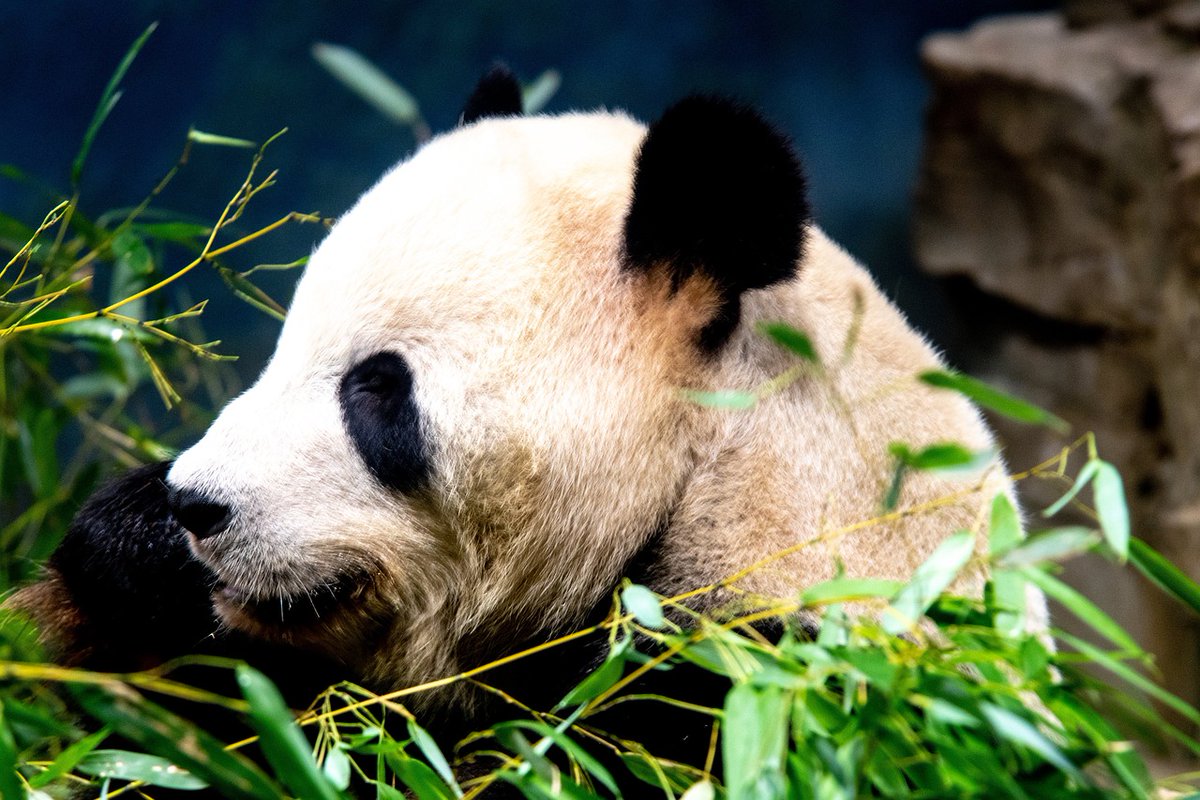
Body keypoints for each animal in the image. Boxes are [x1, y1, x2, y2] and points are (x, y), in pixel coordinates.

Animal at [11, 67, 1031, 787]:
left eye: (377, 391)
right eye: (283, 345)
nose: (199, 504)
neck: (724, 469)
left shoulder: (750, 689)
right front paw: (132, 548)